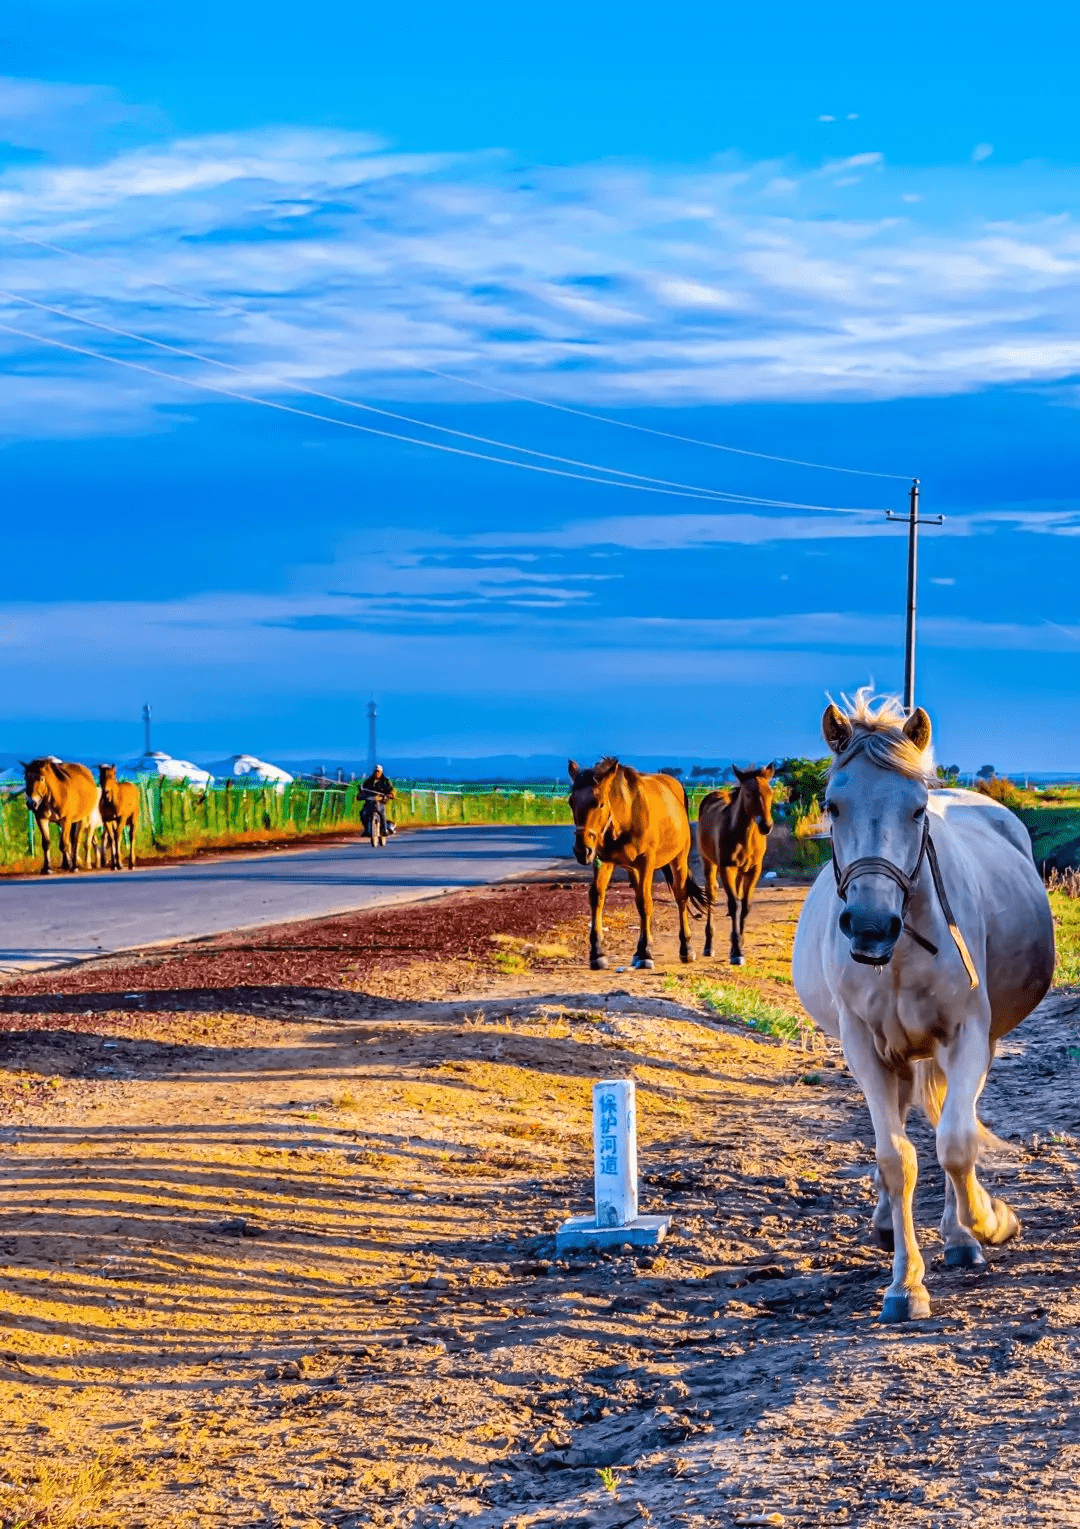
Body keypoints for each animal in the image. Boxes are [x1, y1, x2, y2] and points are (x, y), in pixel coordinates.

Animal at [568, 757, 708, 970]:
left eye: (599, 803)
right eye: (571, 802)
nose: (582, 850)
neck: (626, 815)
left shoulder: (646, 863)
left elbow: (645, 902)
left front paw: (646, 952)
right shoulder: (604, 860)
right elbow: (597, 897)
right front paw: (598, 952)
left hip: (679, 859)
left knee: (681, 896)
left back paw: (686, 948)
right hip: (632, 869)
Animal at [698, 764, 775, 964]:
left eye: (770, 792)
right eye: (748, 794)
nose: (766, 826)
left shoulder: (754, 870)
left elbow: (745, 906)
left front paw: (739, 945)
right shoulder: (727, 867)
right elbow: (734, 905)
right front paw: (737, 952)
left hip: (741, 871)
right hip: (709, 863)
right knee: (711, 895)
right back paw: (708, 946)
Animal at [792, 693, 1054, 1322]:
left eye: (916, 811)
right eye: (832, 806)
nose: (869, 926)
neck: (902, 950)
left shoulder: (968, 1036)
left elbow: (955, 1143)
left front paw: (987, 1222)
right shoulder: (865, 1049)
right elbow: (897, 1158)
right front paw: (905, 1284)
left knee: (945, 1123)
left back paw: (960, 1236)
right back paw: (890, 1223)